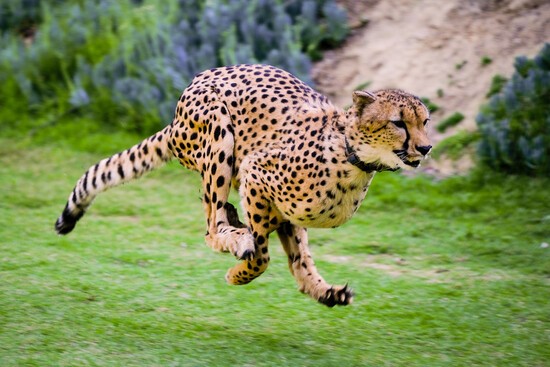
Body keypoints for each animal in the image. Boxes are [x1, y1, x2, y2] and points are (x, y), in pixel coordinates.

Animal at [57, 64, 436, 308]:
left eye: (425, 121)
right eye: (398, 123)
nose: (426, 147)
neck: (352, 155)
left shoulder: (288, 214)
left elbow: (299, 258)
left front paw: (321, 290)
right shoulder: (256, 170)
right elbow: (262, 254)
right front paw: (239, 272)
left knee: (220, 215)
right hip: (218, 134)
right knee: (211, 227)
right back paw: (235, 236)